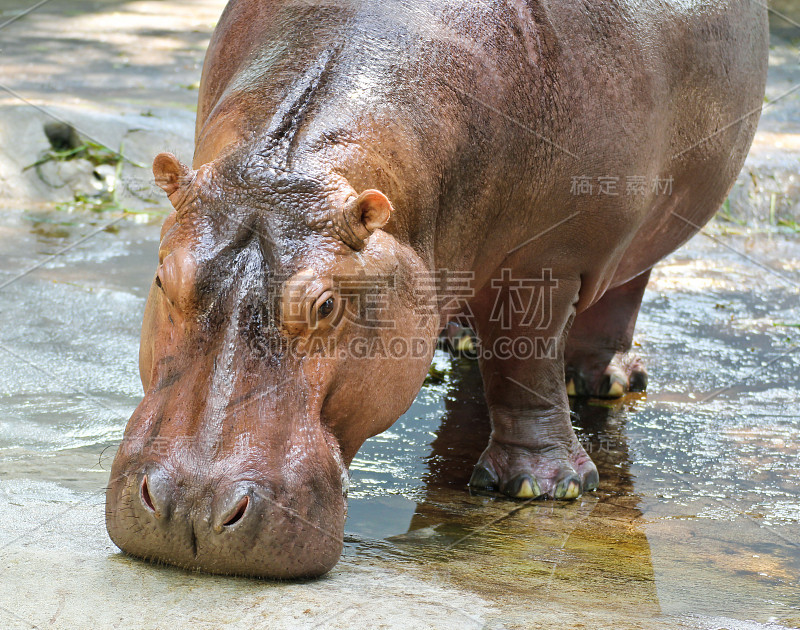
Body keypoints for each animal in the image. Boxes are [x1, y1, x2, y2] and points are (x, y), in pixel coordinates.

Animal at [104, 0, 768, 580]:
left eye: (326, 304)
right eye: (163, 277)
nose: (192, 508)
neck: (288, 168)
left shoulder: (553, 257)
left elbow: (528, 358)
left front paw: (543, 487)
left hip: (652, 223)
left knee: (621, 289)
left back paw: (601, 381)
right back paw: (463, 341)